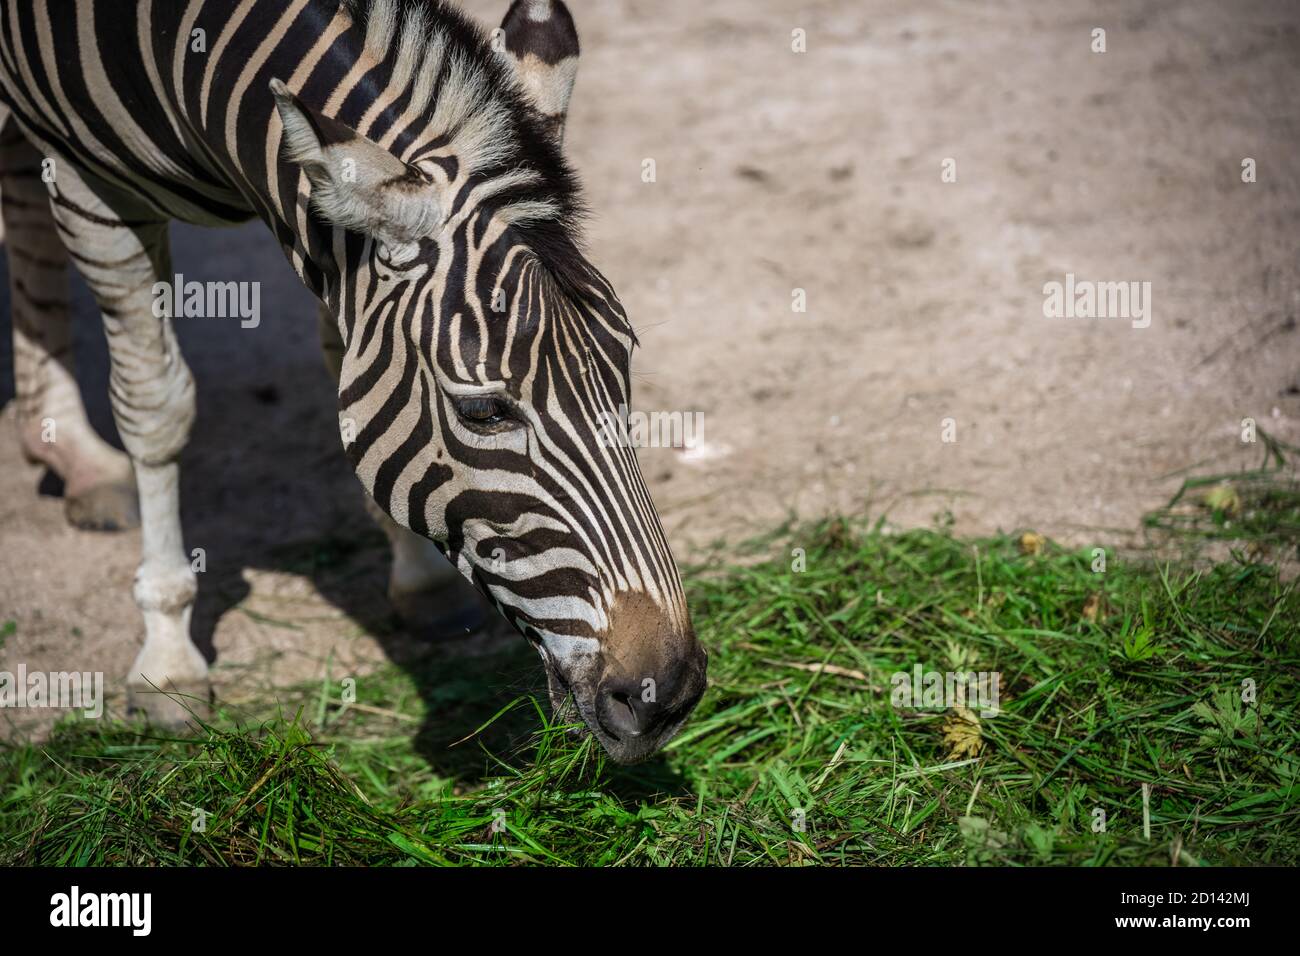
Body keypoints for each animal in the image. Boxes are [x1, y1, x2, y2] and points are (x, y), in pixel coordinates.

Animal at [0, 0, 707, 764]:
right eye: (484, 412)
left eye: (625, 367)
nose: (667, 696)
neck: (183, 48)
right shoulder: (87, 181)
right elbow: (155, 406)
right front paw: (166, 656)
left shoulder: (326, 230)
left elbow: (346, 365)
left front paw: (419, 577)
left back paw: (71, 454)